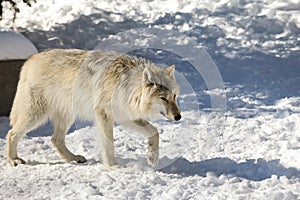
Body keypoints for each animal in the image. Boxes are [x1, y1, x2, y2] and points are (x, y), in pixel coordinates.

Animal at [5, 49, 182, 168]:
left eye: (174, 96)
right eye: (163, 98)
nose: (178, 117)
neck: (127, 87)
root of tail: (30, 60)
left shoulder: (127, 117)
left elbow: (155, 132)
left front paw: (153, 158)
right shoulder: (104, 115)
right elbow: (109, 143)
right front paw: (113, 166)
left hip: (67, 117)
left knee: (56, 139)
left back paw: (73, 158)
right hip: (36, 115)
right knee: (12, 133)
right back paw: (14, 160)